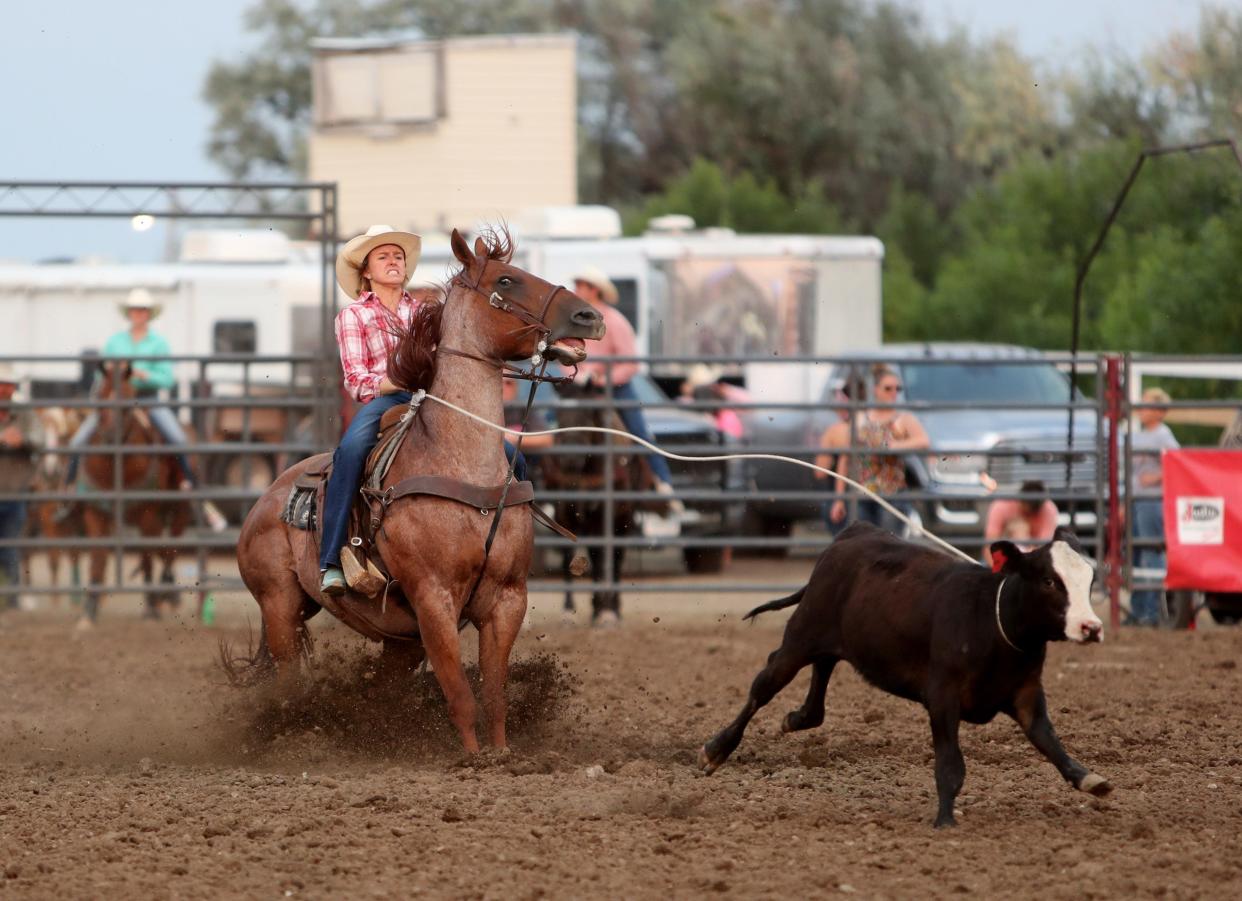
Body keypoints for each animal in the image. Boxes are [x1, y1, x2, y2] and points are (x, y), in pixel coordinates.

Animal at [237, 228, 606, 750]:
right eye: (506, 280)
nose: (589, 317)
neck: (462, 465)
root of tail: (265, 500)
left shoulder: (507, 599)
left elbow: (494, 692)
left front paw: (503, 753)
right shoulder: (433, 599)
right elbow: (460, 693)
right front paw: (472, 758)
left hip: (397, 639)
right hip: (279, 607)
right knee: (287, 679)